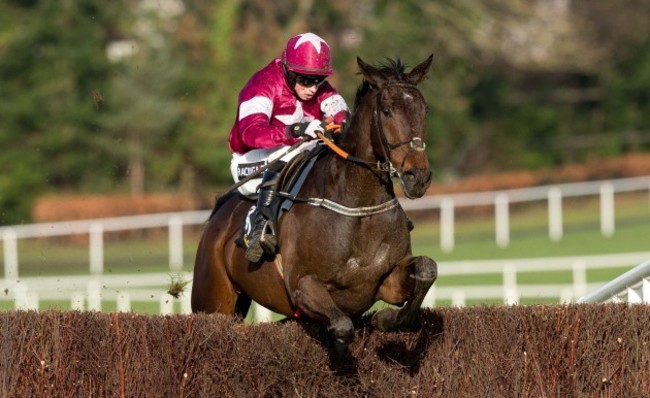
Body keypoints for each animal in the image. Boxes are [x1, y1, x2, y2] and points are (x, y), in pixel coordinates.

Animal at [191, 54, 436, 346]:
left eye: (424, 109)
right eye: (387, 110)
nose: (417, 176)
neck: (360, 207)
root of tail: (219, 215)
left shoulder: (388, 280)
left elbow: (427, 269)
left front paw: (385, 319)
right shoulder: (302, 286)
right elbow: (342, 326)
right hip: (213, 301)